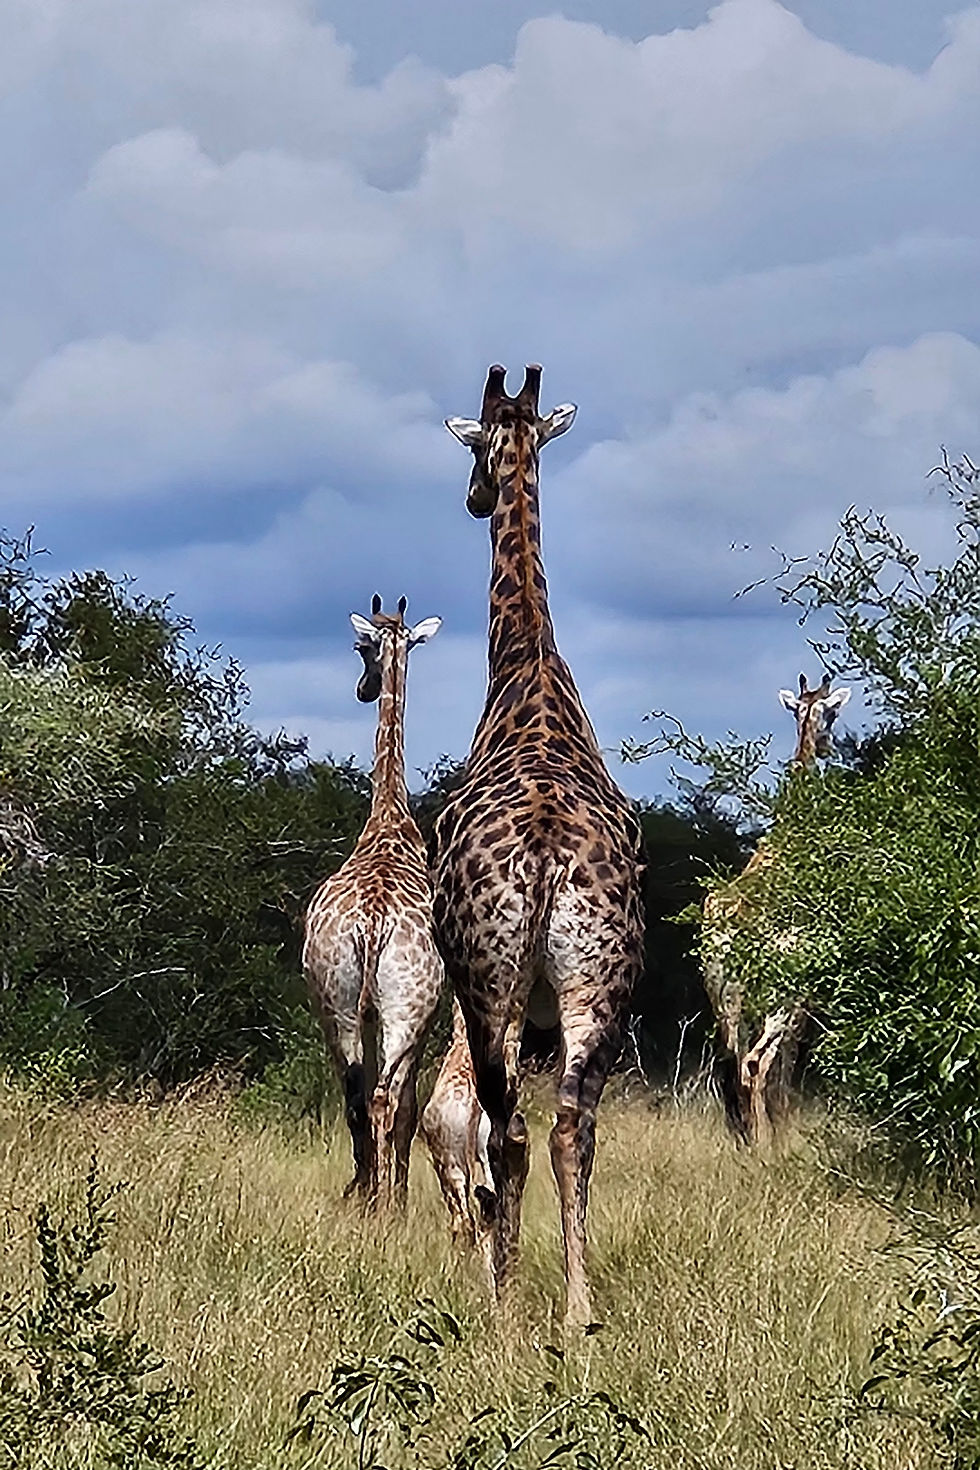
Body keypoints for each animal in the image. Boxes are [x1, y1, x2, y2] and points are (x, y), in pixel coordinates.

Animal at [702, 672, 851, 1145]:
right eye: (832, 713)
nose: (827, 747)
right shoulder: (804, 986)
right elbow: (786, 1063)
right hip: (775, 994)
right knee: (756, 1062)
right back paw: (768, 1141)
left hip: (724, 995)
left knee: (734, 1064)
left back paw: (749, 1137)